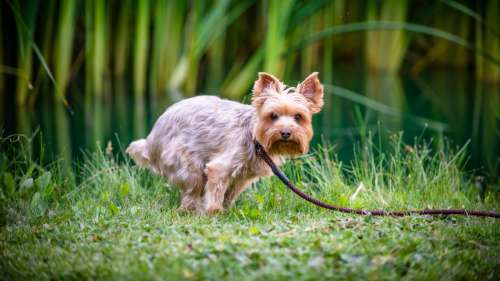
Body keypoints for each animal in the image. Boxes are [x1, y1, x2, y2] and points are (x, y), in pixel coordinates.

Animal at [126, 71, 324, 212]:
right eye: (273, 116)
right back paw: (191, 210)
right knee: (192, 191)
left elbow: (229, 194)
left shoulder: (242, 177)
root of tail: (151, 139)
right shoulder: (220, 168)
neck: (255, 138)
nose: (285, 132)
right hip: (186, 163)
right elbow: (215, 192)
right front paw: (214, 212)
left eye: (298, 117)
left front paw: (227, 210)